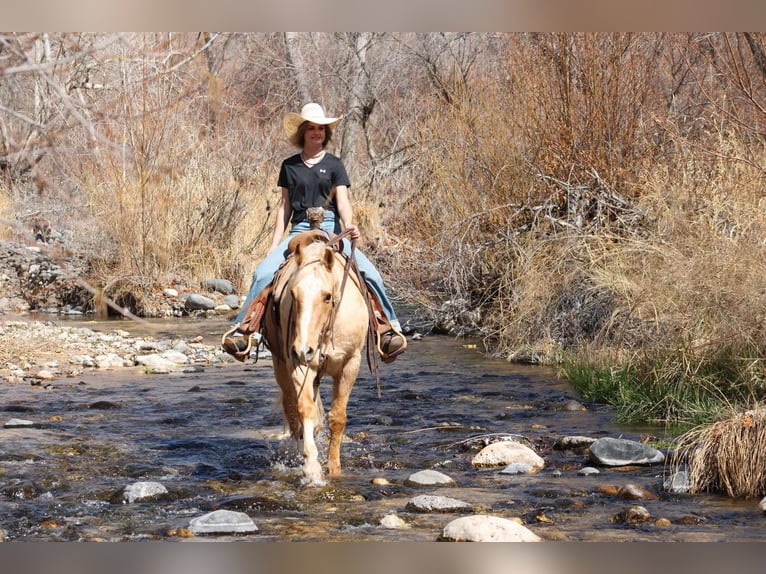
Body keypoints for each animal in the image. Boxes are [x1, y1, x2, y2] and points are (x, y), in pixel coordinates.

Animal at [262, 232, 370, 488]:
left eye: (327, 296)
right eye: (293, 294)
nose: (303, 350)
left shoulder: (351, 363)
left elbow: (337, 418)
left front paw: (334, 467)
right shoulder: (299, 365)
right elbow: (304, 409)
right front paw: (311, 468)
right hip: (282, 367)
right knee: (292, 411)